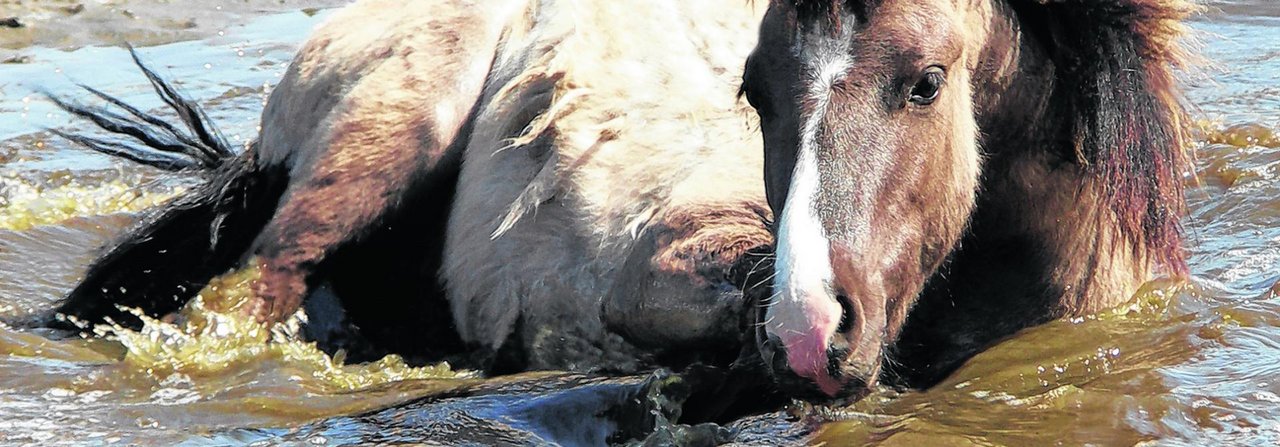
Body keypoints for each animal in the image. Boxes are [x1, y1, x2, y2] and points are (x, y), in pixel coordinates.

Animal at [42, 0, 1198, 404]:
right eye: (753, 89)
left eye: (924, 82)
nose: (808, 331)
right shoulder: (668, 253)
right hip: (381, 138)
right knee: (257, 286)